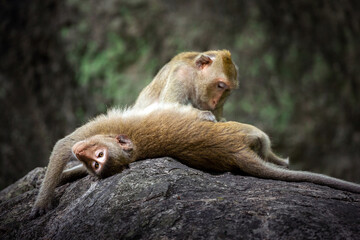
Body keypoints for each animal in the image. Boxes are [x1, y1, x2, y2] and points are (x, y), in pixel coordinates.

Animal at [31, 103, 360, 218]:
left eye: (98, 157)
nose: (84, 156)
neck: (133, 147)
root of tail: (235, 150)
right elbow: (64, 149)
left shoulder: (98, 130)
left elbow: (62, 146)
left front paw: (42, 200)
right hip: (243, 133)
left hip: (241, 130)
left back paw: (278, 160)